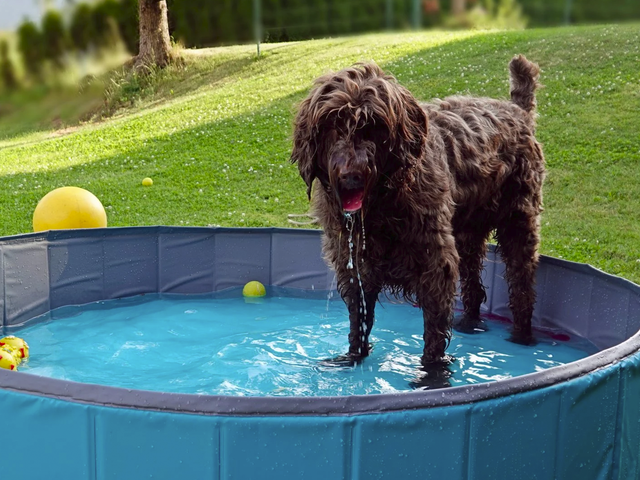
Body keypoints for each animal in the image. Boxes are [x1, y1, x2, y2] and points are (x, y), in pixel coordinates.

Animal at [290, 56, 544, 372]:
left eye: (374, 127)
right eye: (332, 124)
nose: (351, 177)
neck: (382, 205)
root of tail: (517, 110)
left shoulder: (435, 264)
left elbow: (434, 332)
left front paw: (432, 374)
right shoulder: (355, 265)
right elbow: (358, 320)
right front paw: (353, 358)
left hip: (519, 222)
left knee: (522, 285)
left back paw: (523, 336)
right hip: (468, 231)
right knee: (473, 280)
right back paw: (471, 323)